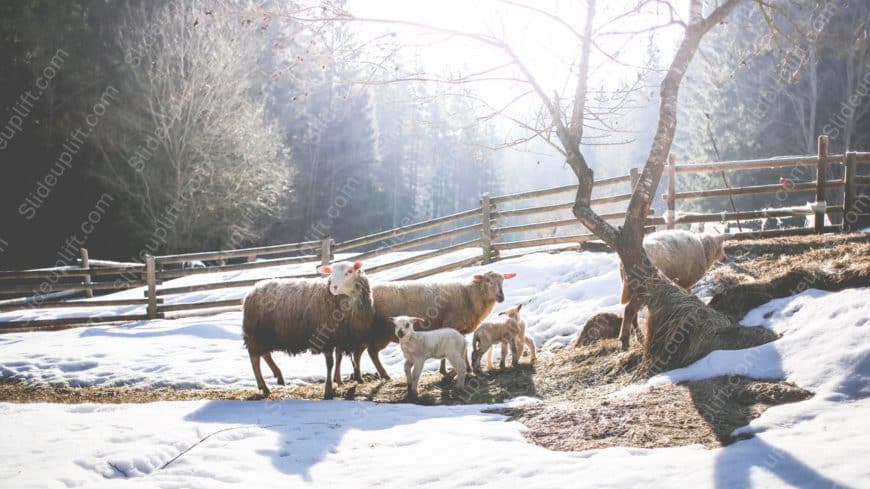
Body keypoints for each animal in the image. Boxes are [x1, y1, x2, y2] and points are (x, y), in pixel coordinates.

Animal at [242, 260, 374, 396]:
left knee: (265, 354)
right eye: (331, 273)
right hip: (255, 333)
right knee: (255, 358)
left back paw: (278, 376)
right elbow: (330, 363)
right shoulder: (325, 337)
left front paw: (338, 380)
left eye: (349, 271)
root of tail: (252, 290)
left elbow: (339, 357)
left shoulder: (341, 336)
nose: (333, 287)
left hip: (266, 334)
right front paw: (328, 388)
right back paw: (264, 387)